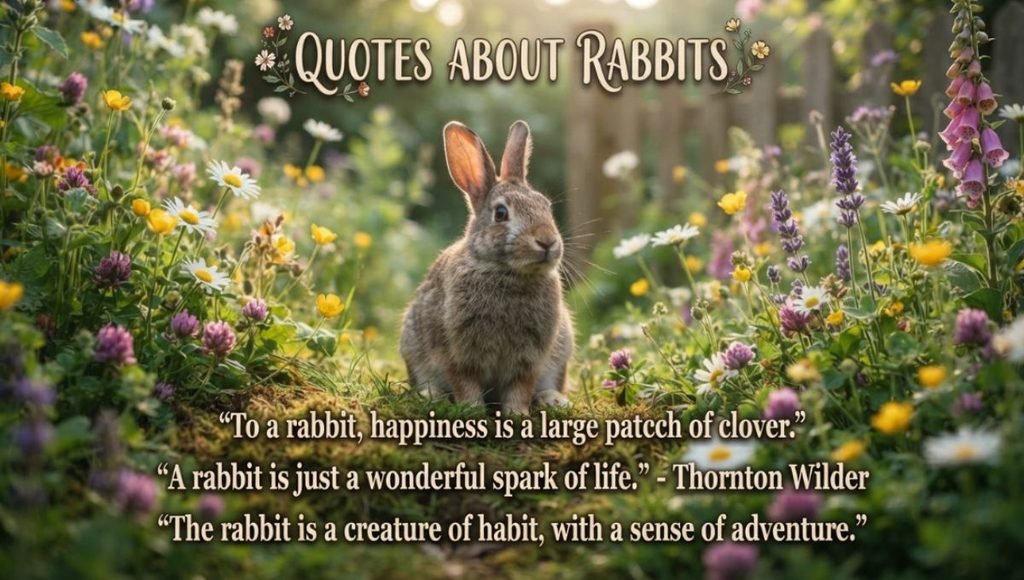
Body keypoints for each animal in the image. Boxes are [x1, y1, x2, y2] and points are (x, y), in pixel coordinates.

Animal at [400, 120, 574, 415]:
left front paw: (517, 414)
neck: (508, 273)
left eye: (546, 207)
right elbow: (464, 383)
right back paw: (431, 394)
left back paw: (554, 399)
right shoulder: (455, 353)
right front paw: (471, 410)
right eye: (501, 214)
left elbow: (520, 388)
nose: (547, 241)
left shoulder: (530, 359)